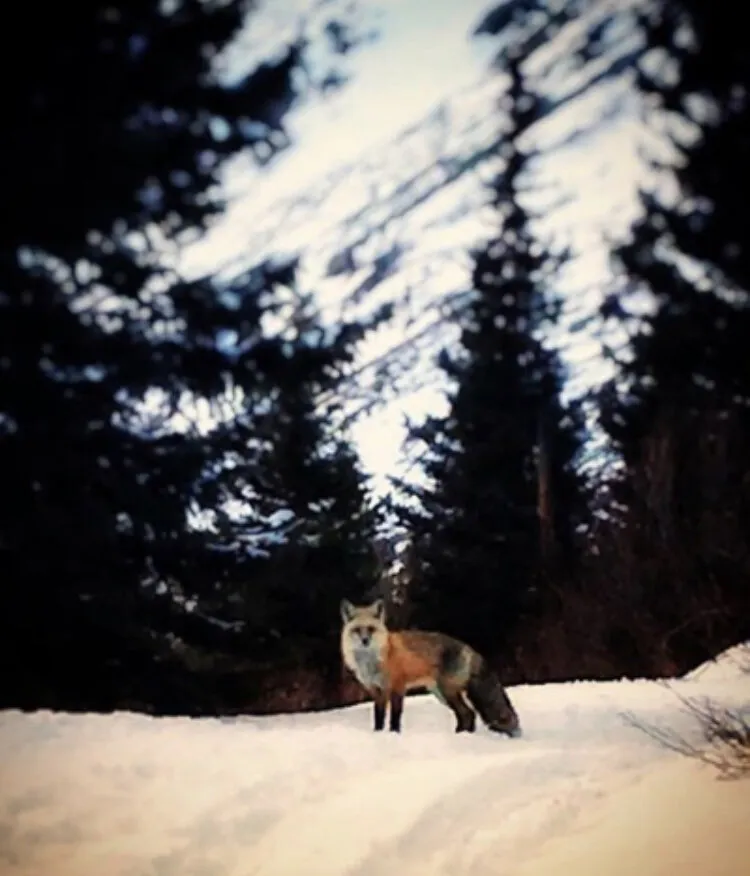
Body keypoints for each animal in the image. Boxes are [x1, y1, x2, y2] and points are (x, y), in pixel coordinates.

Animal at [340, 598, 521, 736]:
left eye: (371, 629)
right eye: (357, 630)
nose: (365, 640)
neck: (373, 661)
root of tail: (469, 648)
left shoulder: (397, 687)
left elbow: (395, 716)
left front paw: (394, 734)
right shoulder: (376, 691)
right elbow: (379, 716)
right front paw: (378, 734)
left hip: (447, 692)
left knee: (468, 713)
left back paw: (461, 736)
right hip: (440, 693)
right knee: (467, 714)